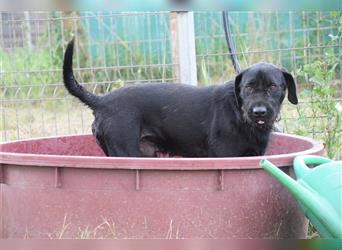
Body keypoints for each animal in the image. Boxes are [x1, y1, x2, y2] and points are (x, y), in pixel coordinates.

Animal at [62, 38, 298, 156]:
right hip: (126, 152)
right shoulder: (225, 156)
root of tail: (102, 102)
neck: (240, 116)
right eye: (248, 87)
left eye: (273, 87)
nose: (259, 112)